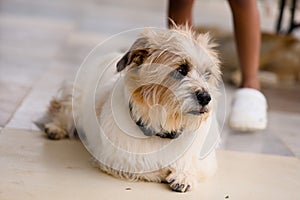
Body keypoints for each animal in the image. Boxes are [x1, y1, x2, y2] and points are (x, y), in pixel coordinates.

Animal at [39, 26, 220, 192]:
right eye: (181, 70)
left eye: (207, 74)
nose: (206, 97)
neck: (164, 128)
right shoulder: (116, 160)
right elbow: (145, 168)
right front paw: (163, 172)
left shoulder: (205, 162)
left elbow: (191, 165)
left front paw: (183, 174)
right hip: (73, 99)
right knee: (61, 109)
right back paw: (55, 127)